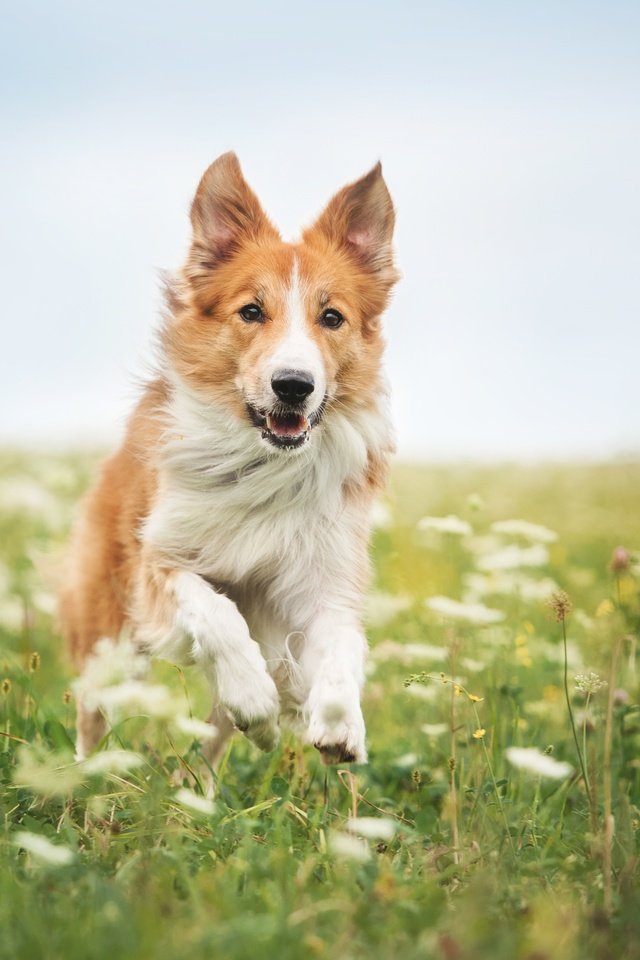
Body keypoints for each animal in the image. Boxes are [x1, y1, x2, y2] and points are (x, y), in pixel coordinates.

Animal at [60, 154, 400, 768]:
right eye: (252, 311)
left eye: (332, 317)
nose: (293, 385)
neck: (264, 465)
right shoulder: (160, 563)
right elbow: (217, 612)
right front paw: (254, 695)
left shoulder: (324, 578)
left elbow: (343, 642)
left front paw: (340, 724)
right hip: (108, 633)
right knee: (93, 717)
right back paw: (88, 777)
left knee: (211, 750)